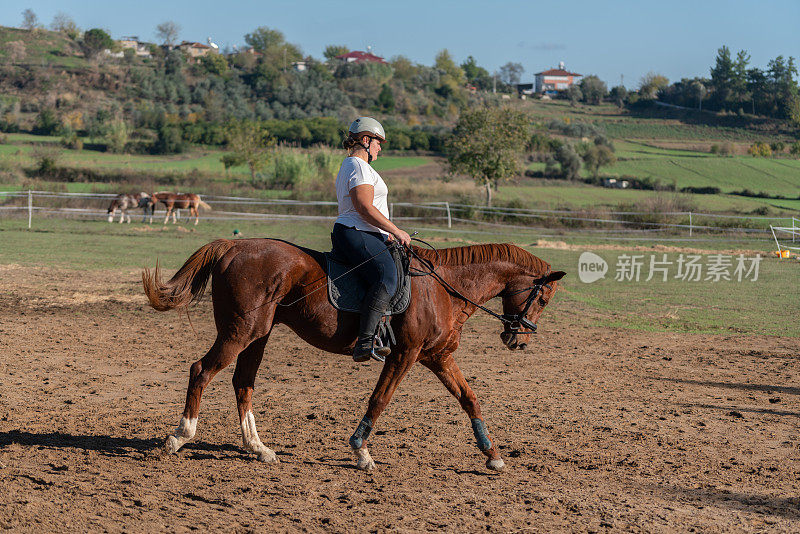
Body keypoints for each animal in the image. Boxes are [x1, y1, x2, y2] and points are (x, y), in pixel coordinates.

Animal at [145, 239, 568, 474]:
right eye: (544, 298)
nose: (519, 341)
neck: (444, 288)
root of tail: (233, 247)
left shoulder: (438, 357)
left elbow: (470, 399)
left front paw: (492, 455)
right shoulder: (405, 354)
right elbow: (380, 400)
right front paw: (362, 452)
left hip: (257, 335)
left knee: (242, 383)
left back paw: (258, 449)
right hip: (239, 332)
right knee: (202, 370)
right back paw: (180, 436)